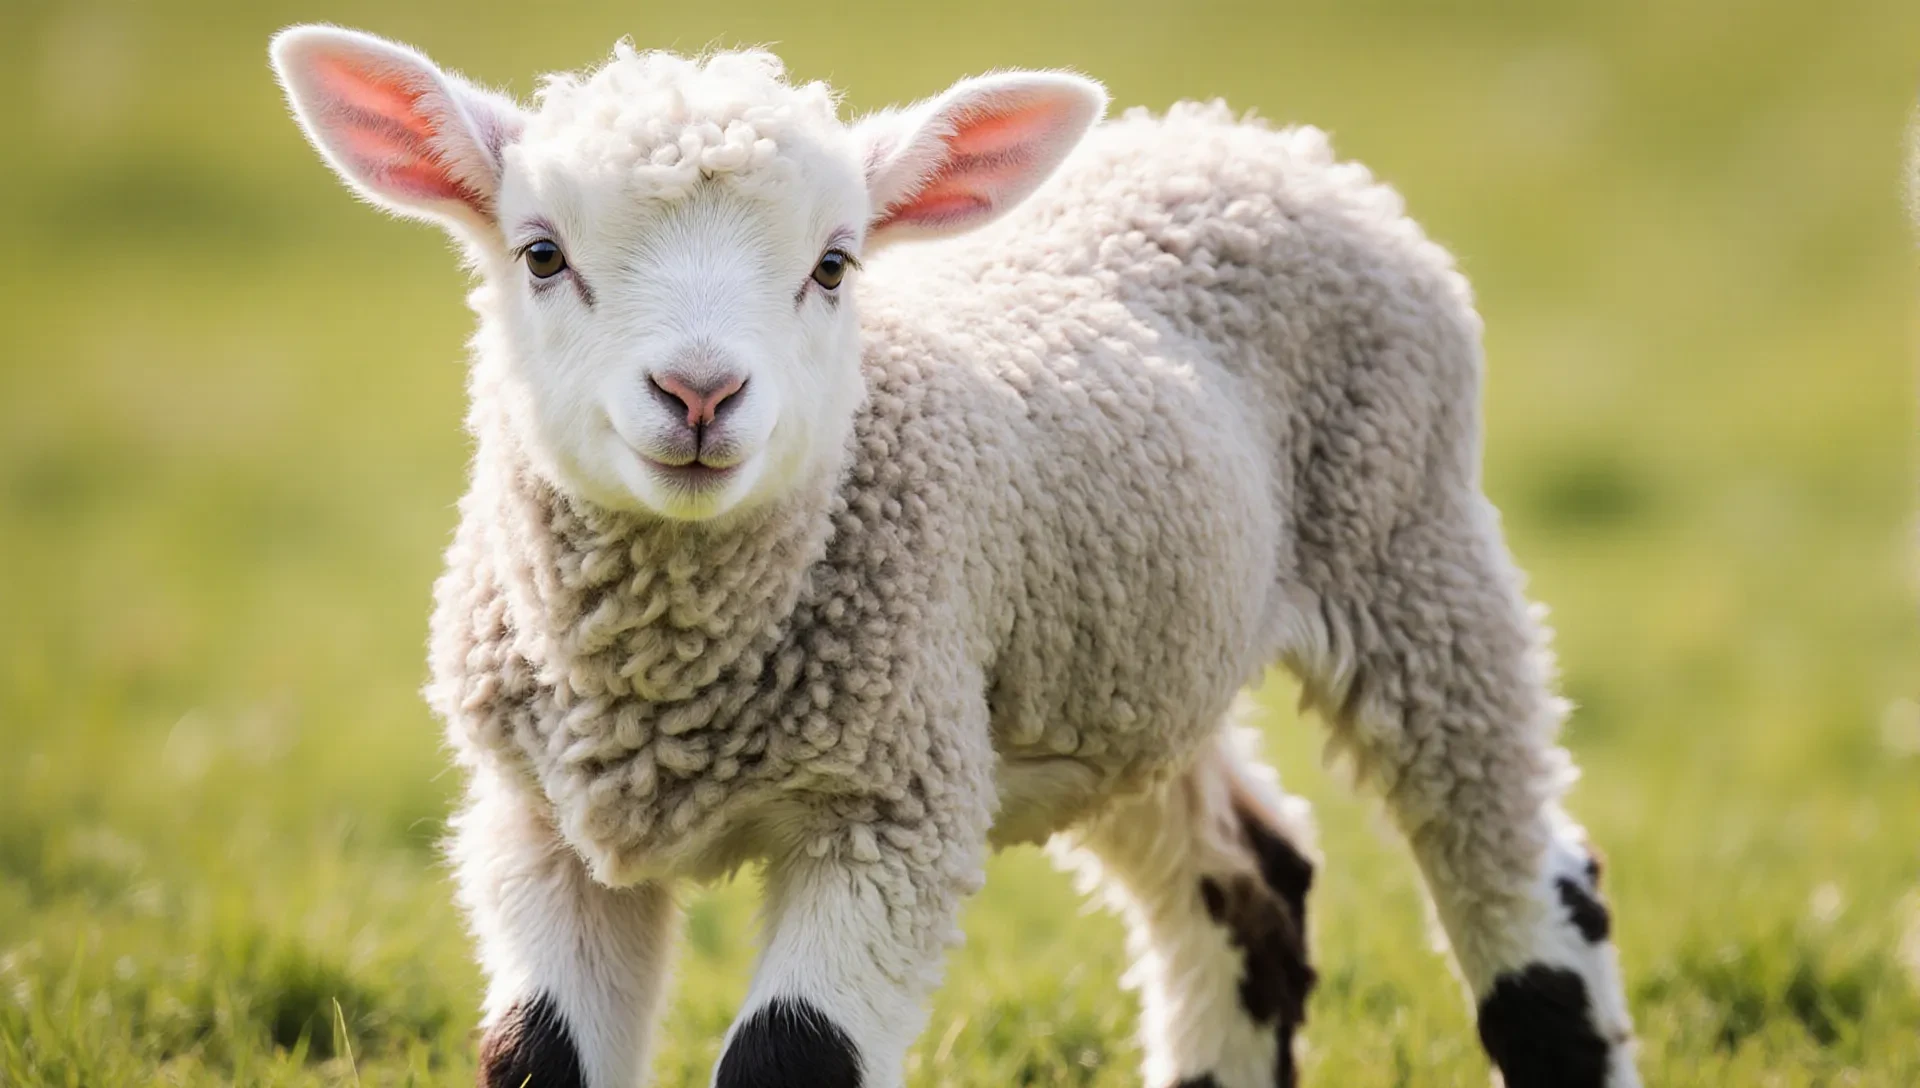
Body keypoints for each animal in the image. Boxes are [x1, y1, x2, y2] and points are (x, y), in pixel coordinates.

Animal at [268, 24, 1639, 1088]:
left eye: (834, 264)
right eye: (543, 254)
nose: (701, 394)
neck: (665, 689)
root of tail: (1255, 140)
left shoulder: (892, 806)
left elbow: (791, 1060)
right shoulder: (536, 822)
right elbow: (537, 1057)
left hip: (1413, 546)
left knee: (1530, 885)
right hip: (1110, 664)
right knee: (1249, 873)